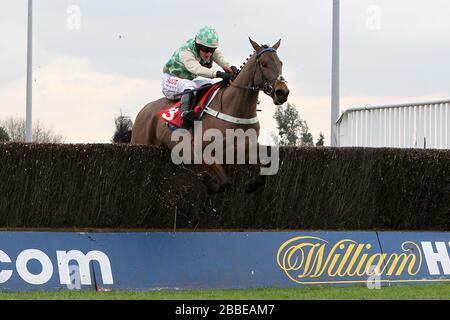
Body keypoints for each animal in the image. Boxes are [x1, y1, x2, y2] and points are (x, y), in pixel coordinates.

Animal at [125, 37, 290, 192]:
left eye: (281, 63)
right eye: (264, 64)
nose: (282, 92)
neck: (233, 109)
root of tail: (144, 110)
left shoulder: (245, 149)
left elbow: (267, 166)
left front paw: (251, 185)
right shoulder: (204, 152)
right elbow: (225, 183)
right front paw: (207, 182)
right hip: (142, 141)